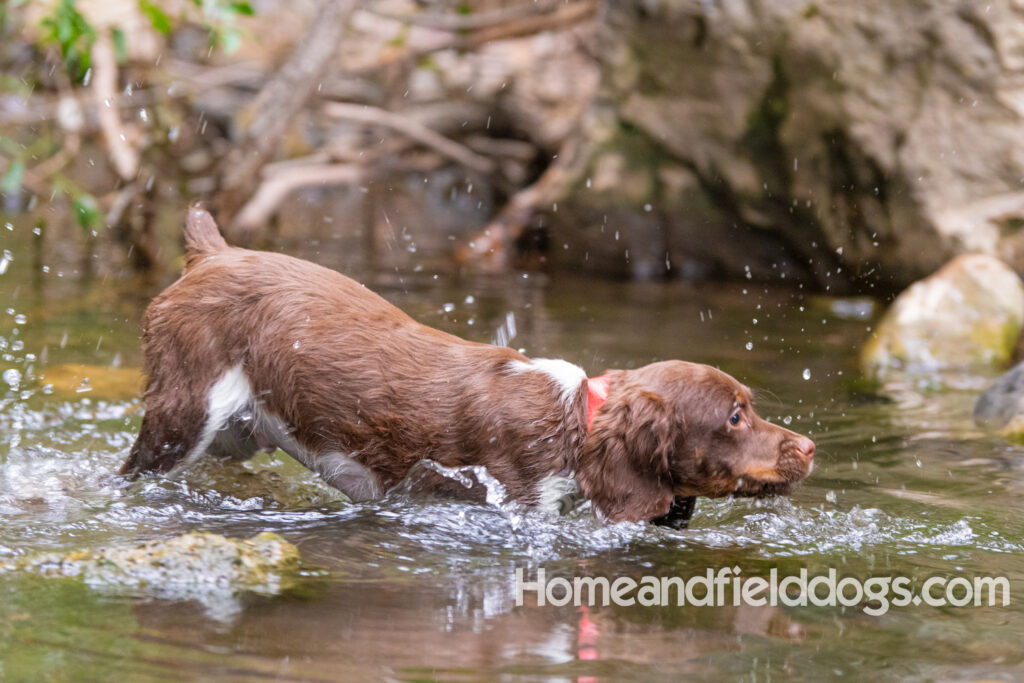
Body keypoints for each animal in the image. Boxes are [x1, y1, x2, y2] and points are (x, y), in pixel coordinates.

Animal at [119, 210, 811, 528]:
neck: (574, 424)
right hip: (184, 417)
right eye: (734, 415)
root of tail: (213, 253)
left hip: (235, 435)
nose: (808, 446)